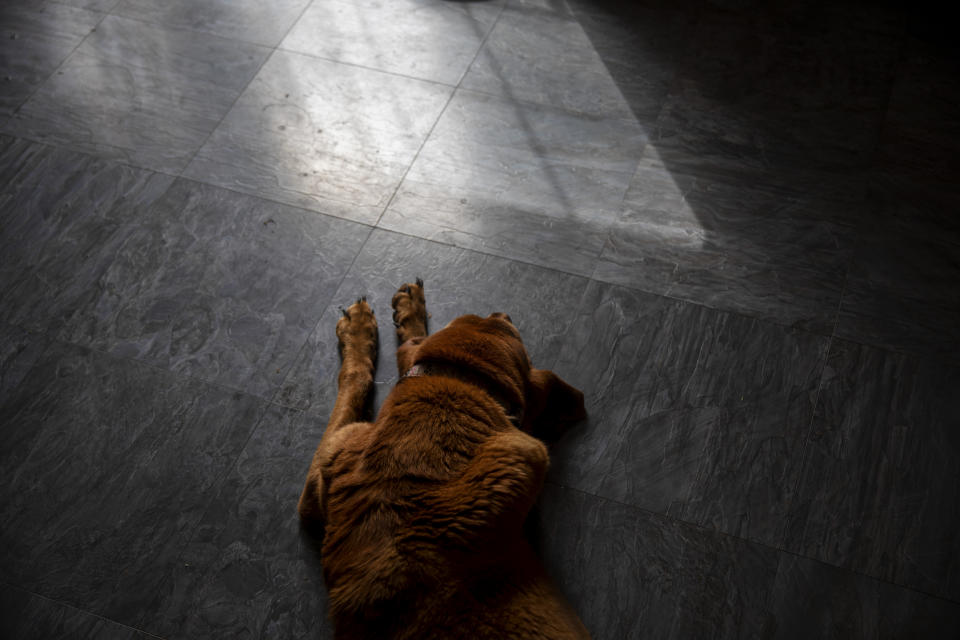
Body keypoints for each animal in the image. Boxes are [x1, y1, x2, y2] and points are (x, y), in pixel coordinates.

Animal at [296, 280, 588, 640]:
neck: (460, 382)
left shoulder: (321, 473)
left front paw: (363, 330)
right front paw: (401, 315)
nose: (502, 312)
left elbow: (355, 378)